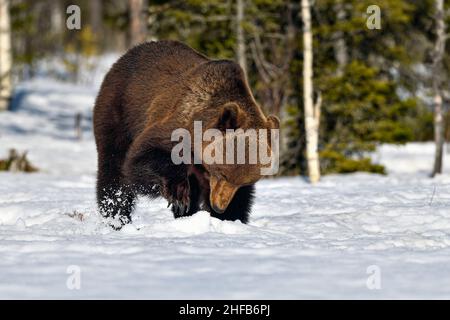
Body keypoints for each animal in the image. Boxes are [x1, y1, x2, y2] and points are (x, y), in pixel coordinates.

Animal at [93, 40, 280, 229]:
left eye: (243, 182)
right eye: (222, 173)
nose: (219, 206)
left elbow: (240, 199)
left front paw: (228, 218)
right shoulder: (177, 123)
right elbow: (142, 158)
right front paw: (178, 192)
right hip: (119, 112)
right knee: (114, 171)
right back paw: (116, 219)